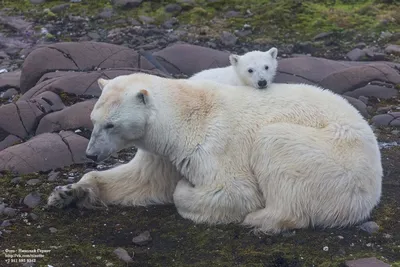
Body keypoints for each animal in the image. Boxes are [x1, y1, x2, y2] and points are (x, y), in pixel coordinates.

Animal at [47, 73, 382, 234]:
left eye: (111, 124)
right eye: (93, 120)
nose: (91, 153)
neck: (184, 114)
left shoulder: (212, 142)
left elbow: (235, 192)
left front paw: (186, 186)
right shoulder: (161, 152)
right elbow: (144, 180)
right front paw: (68, 193)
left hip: (334, 154)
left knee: (275, 143)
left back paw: (261, 219)